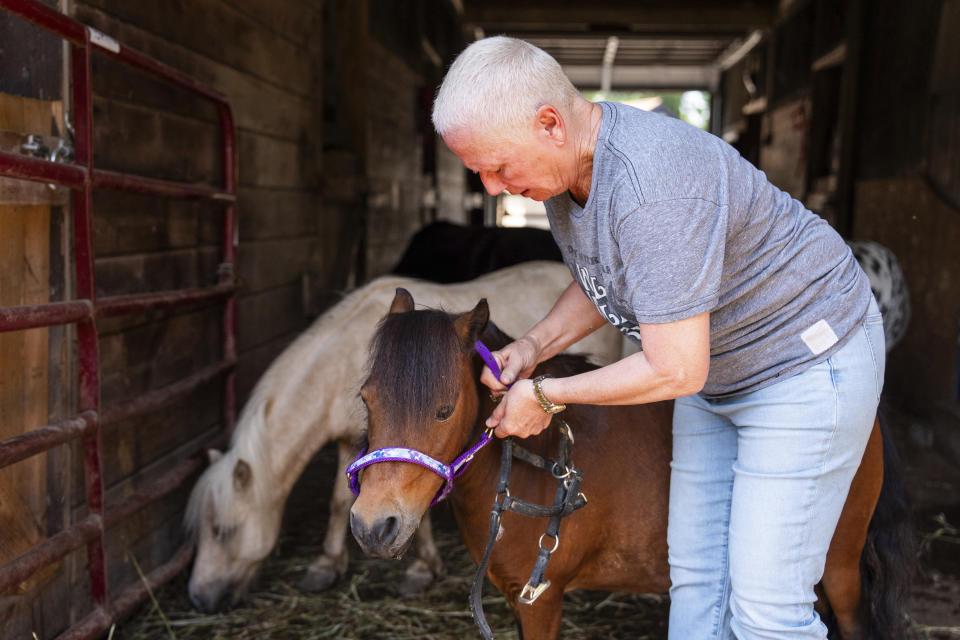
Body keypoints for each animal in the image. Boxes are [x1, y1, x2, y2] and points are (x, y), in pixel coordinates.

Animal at [182, 262, 632, 612]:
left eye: (224, 531)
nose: (199, 600)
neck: (337, 362)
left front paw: (421, 569)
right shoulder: (355, 442)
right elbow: (339, 501)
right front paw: (326, 565)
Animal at [350, 292, 916, 640]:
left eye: (444, 410)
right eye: (366, 400)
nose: (375, 526)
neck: (534, 465)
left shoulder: (540, 601)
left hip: (837, 569)